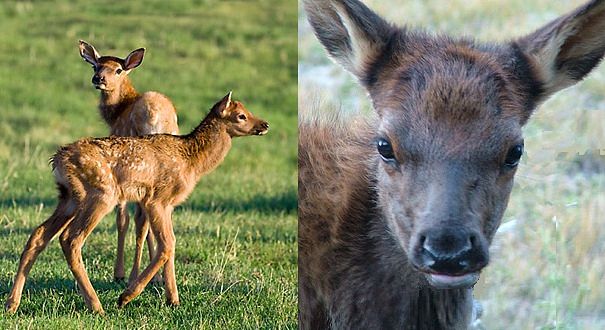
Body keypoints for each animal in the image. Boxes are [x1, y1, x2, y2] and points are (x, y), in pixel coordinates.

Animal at [4, 91, 268, 314]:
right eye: (241, 115)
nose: (265, 124)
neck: (191, 161)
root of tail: (58, 159)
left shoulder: (168, 205)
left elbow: (171, 243)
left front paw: (173, 299)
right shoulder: (156, 199)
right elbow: (166, 245)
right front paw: (127, 296)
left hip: (68, 197)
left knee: (39, 235)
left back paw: (12, 304)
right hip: (102, 193)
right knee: (71, 239)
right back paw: (97, 306)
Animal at [78, 40, 178, 284]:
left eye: (118, 70)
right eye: (96, 66)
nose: (98, 79)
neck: (116, 114)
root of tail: (155, 117)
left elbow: (121, 219)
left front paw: (119, 272)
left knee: (140, 219)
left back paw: (132, 275)